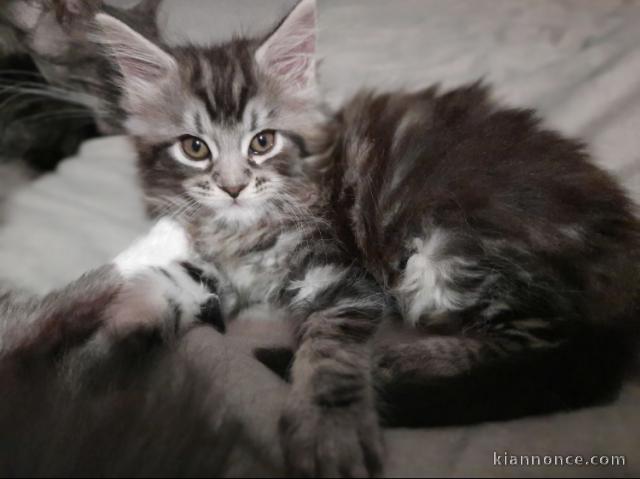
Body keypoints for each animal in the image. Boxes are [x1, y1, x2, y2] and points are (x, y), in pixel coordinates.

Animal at [91, 0, 640, 476]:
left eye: (262, 142)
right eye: (194, 148)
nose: (232, 187)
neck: (243, 228)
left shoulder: (340, 277)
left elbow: (329, 354)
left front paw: (328, 429)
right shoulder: (229, 265)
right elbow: (181, 274)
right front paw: (128, 314)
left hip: (451, 251)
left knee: (556, 349)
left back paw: (392, 362)